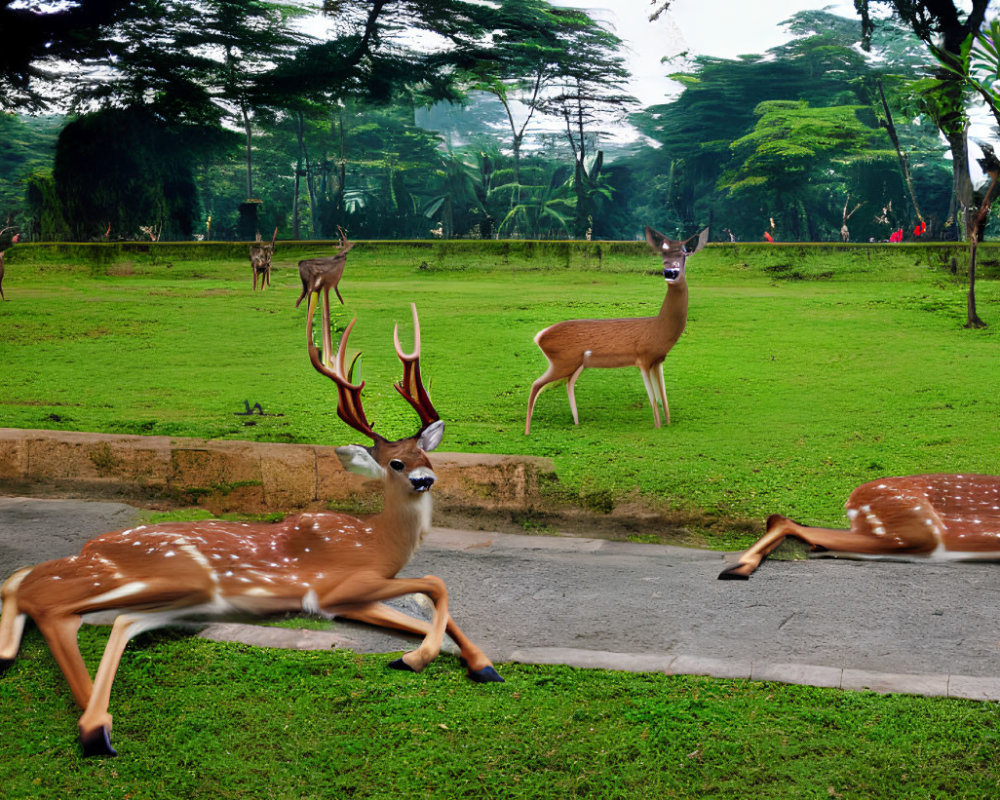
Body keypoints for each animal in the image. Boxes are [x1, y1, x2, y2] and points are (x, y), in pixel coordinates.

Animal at [0, 296, 500, 756]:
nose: (424, 479)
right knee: (69, 605)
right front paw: (414, 659)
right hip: (177, 575)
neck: (377, 542)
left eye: (426, 455)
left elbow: (430, 609)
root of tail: (91, 546)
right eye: (395, 463)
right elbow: (435, 583)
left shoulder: (352, 599)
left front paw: (482, 665)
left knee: (32, 581)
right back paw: (94, 729)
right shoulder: (334, 586)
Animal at [528, 225, 708, 438]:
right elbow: (653, 400)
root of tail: (539, 337)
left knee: (567, 383)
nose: (670, 272)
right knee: (536, 385)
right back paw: (528, 431)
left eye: (684, 254)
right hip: (562, 362)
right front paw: (657, 426)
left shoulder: (658, 360)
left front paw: (668, 423)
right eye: (662, 254)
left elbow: (663, 397)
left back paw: (576, 422)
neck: (658, 329)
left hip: (574, 364)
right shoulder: (642, 358)